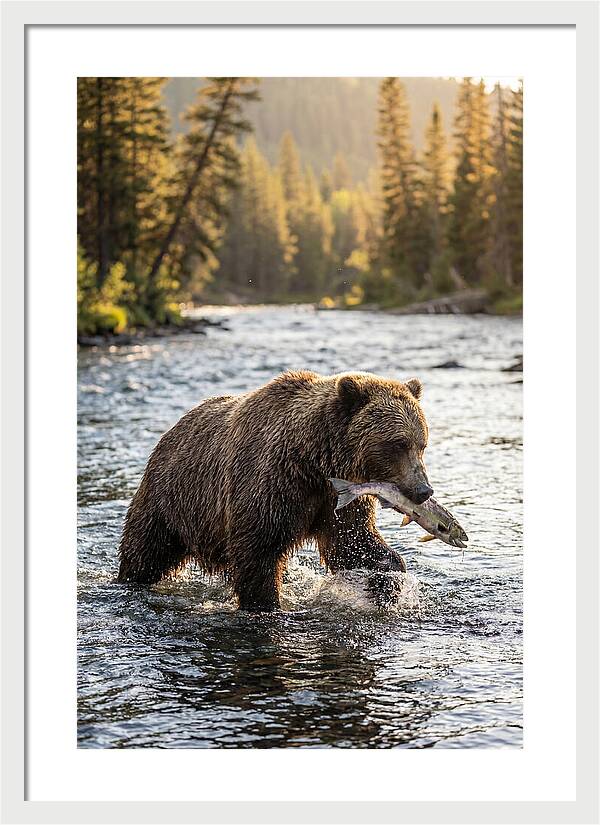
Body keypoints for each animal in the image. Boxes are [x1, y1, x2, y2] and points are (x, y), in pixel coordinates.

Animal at [117, 371, 433, 611]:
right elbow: (258, 551)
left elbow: (353, 542)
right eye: (398, 443)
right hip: (171, 499)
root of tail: (171, 430)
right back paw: (129, 580)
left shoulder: (337, 498)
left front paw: (388, 582)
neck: (314, 461)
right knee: (145, 550)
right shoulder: (272, 484)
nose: (423, 490)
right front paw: (265, 603)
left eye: (422, 443)